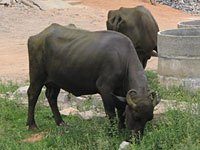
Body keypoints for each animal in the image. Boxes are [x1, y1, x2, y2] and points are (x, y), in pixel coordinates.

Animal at [26, 23, 159, 142]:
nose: (136, 139)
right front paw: (111, 133)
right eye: (136, 117)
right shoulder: (105, 89)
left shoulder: (120, 93)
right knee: (32, 94)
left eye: (149, 118)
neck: (122, 59)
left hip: (55, 81)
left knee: (51, 97)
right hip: (37, 76)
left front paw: (121, 129)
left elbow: (121, 110)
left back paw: (61, 123)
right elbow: (111, 113)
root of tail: (36, 37)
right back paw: (31, 125)